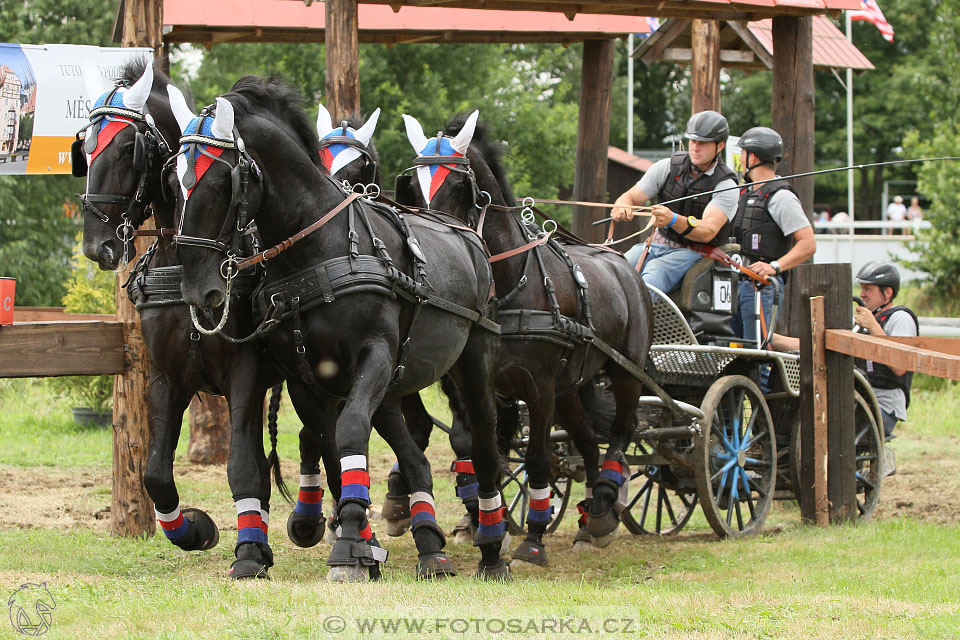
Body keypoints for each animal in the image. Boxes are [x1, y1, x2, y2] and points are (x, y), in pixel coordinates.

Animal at [79, 60, 340, 580]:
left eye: (127, 148)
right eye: (85, 147)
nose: (97, 244)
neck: (184, 263)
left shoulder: (245, 375)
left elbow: (243, 466)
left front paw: (250, 553)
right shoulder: (166, 377)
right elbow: (156, 473)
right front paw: (195, 531)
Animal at [171, 79, 510, 580]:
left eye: (219, 182)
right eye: (172, 179)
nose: (199, 290)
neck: (317, 251)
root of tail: (466, 232)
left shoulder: (374, 356)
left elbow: (350, 433)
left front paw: (350, 545)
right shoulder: (306, 379)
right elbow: (333, 451)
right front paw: (360, 544)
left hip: (471, 366)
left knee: (483, 442)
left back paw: (490, 544)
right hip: (391, 389)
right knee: (415, 457)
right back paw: (431, 547)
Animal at [394, 112, 656, 564]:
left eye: (459, 187)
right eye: (413, 187)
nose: (430, 241)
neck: (507, 283)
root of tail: (624, 264)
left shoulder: (538, 387)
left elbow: (535, 459)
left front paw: (531, 541)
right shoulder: (477, 383)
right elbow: (482, 448)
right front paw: (487, 522)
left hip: (625, 372)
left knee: (622, 429)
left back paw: (605, 503)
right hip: (569, 389)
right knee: (588, 442)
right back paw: (588, 520)